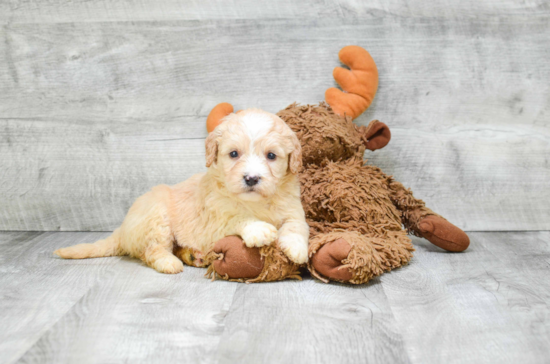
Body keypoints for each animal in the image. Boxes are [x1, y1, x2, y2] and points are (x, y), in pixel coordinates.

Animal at [55, 109, 310, 274]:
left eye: (271, 156)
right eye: (234, 154)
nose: (251, 178)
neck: (254, 202)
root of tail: (123, 229)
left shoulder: (293, 208)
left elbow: (297, 225)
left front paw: (297, 248)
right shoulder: (213, 222)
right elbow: (237, 218)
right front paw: (259, 229)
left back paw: (192, 255)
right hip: (156, 218)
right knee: (152, 250)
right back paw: (169, 263)